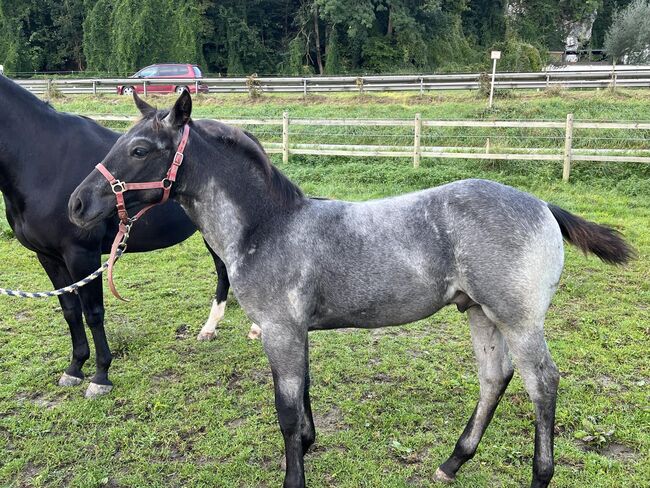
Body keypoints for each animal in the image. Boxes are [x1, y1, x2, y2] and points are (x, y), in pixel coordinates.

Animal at [0, 75, 230, 396]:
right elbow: (70, 311)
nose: (77, 205)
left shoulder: (81, 254)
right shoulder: (47, 257)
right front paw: (74, 368)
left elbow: (93, 312)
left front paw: (100, 376)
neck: (42, 161)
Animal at [68, 92, 632, 488]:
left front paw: (294, 476)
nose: (76, 204)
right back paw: (452, 462)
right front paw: (311, 445)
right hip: (478, 312)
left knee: (542, 383)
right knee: (495, 378)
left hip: (517, 318)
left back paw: (538, 474)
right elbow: (302, 398)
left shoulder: (279, 329)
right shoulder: (294, 331)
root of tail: (542, 205)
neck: (268, 226)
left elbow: (286, 411)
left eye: (140, 149)